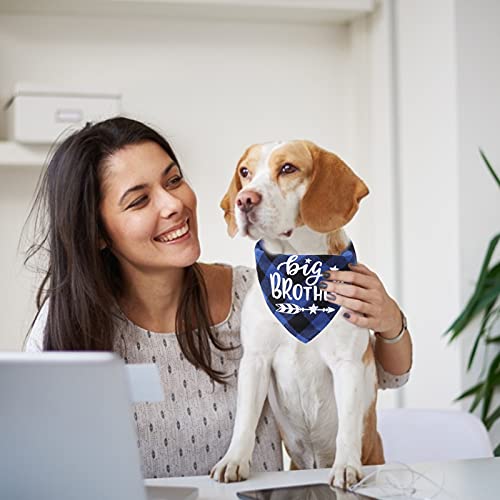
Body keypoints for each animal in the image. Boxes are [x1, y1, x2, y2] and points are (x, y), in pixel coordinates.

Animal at [209, 140, 384, 488]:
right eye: (245, 172)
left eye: (288, 168)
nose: (243, 199)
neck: (296, 274)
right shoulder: (256, 361)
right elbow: (244, 420)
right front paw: (234, 461)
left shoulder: (347, 364)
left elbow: (348, 426)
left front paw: (346, 466)